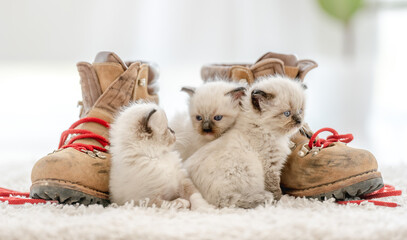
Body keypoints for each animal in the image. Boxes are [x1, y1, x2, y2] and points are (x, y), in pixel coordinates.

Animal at [185, 76, 306, 207]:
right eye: (287, 113)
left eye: (300, 111)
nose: (299, 121)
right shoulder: (270, 165)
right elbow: (275, 186)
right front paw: (278, 199)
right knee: (228, 201)